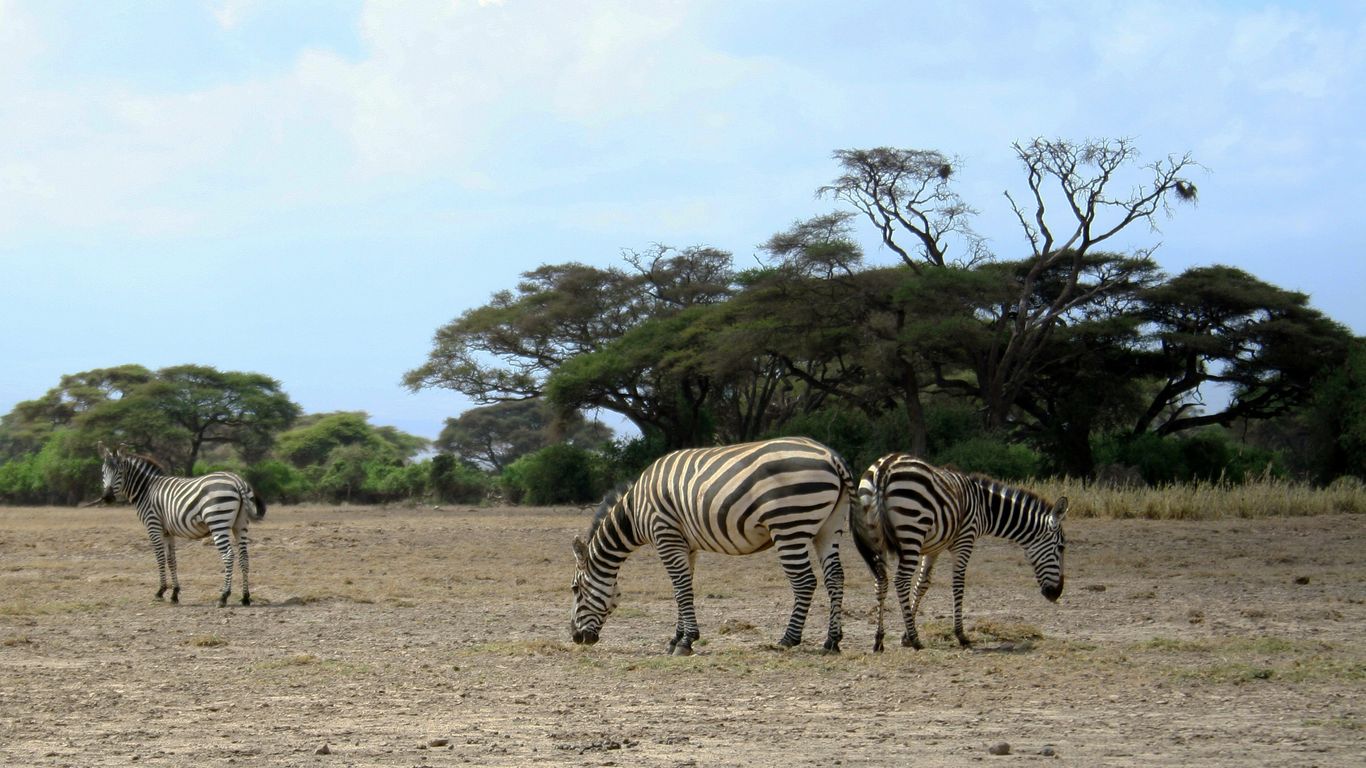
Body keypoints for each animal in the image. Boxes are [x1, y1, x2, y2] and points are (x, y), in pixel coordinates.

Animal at [98, 443, 266, 607]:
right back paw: (245, 597)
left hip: (218, 522)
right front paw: (174, 593)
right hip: (240, 524)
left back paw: (223, 596)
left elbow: (160, 558)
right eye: (103, 472)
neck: (146, 490)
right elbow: (171, 560)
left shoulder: (153, 525)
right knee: (244, 557)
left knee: (229, 555)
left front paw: (160, 592)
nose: (107, 498)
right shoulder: (168, 532)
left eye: (120, 472)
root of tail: (238, 481)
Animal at [570, 436, 854, 655]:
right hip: (829, 527)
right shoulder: (686, 545)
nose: (574, 637)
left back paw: (788, 640)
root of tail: (830, 456)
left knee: (805, 581)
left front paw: (686, 642)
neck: (634, 512)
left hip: (789, 526)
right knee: (835, 577)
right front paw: (676, 638)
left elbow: (682, 589)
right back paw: (832, 641)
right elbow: (682, 590)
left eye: (575, 589)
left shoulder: (666, 536)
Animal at [851, 453, 1066, 652]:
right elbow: (958, 585)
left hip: (875, 534)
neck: (985, 508)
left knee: (881, 581)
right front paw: (960, 635)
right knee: (901, 581)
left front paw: (904, 636)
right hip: (912, 530)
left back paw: (879, 640)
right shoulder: (965, 540)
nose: (1056, 594)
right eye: (1061, 547)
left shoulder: (933, 549)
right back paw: (916, 640)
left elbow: (922, 585)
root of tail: (884, 469)